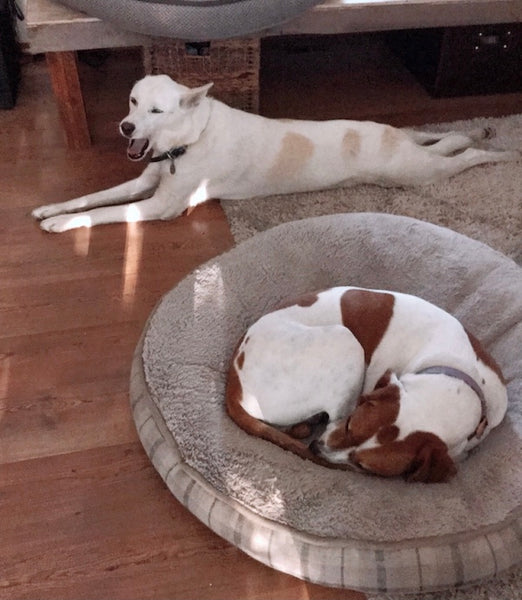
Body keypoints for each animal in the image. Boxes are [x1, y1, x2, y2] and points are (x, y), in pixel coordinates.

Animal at [32, 74, 516, 232]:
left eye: (156, 111)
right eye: (133, 102)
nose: (126, 127)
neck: (189, 138)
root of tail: (390, 135)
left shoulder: (159, 207)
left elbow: (104, 213)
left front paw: (62, 225)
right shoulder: (144, 179)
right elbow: (92, 197)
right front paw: (51, 209)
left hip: (416, 173)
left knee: (463, 160)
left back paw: (501, 153)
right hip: (410, 156)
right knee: (445, 140)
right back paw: (476, 131)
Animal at [225, 288, 506, 482]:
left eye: (363, 465)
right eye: (351, 424)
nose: (316, 449)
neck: (458, 369)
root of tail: (234, 382)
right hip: (346, 342)